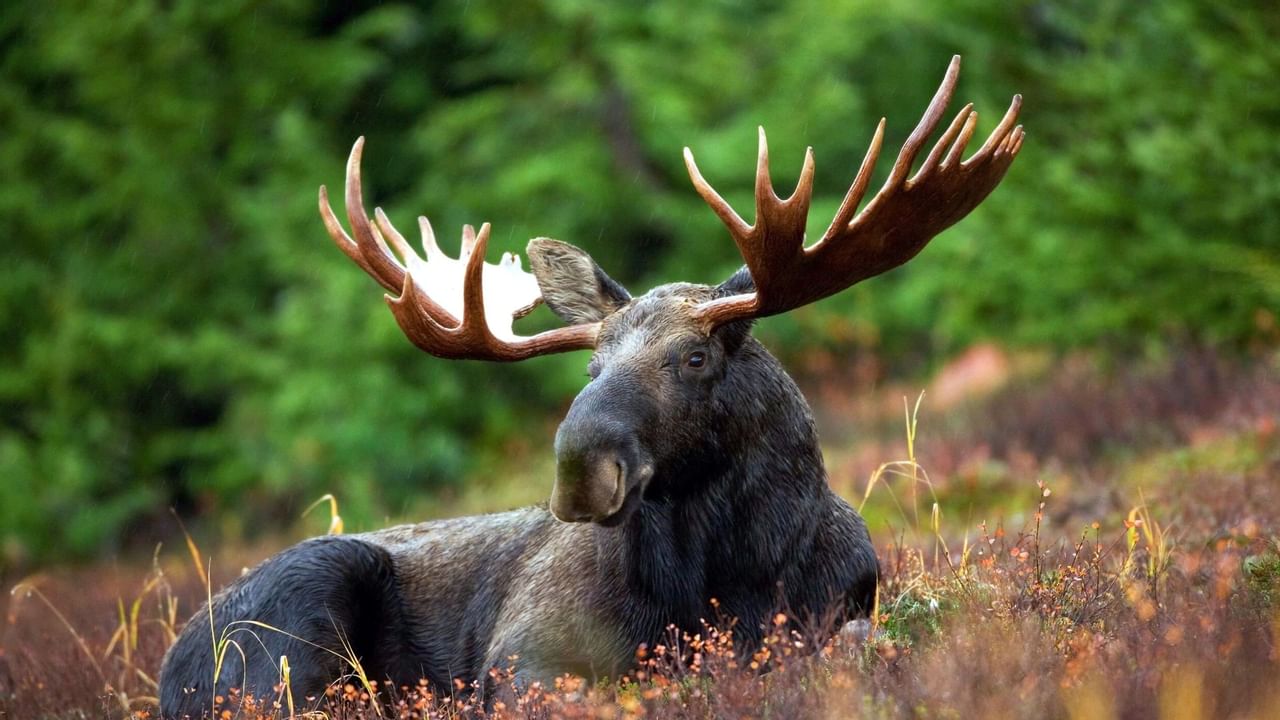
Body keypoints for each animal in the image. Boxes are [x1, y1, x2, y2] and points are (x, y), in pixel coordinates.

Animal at [158, 56, 1022, 717]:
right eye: (590, 368)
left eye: (695, 358)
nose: (580, 467)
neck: (727, 578)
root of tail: (170, 668)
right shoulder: (524, 657)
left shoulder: (842, 612)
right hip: (298, 613)